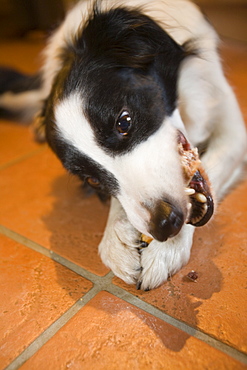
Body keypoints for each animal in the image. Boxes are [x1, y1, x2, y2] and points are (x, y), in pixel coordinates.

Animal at [0, 0, 246, 290]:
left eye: (124, 121)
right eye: (92, 180)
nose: (165, 224)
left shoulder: (232, 126)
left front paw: (166, 250)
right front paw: (115, 240)